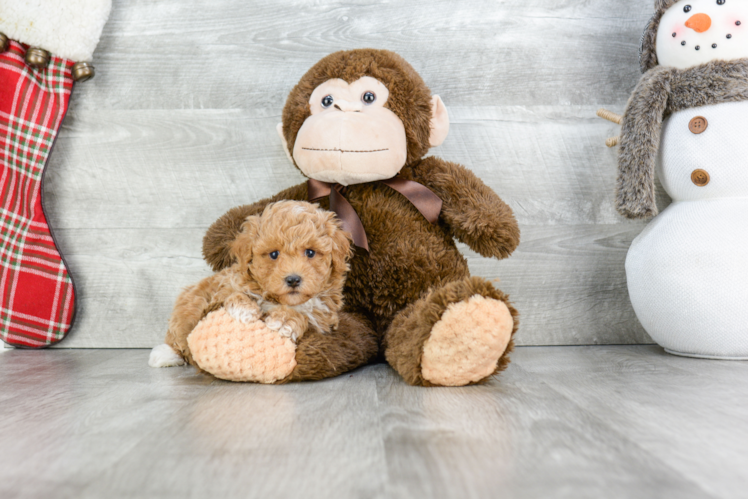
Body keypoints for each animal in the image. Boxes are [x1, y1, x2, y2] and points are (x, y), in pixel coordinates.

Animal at [151, 199, 354, 368]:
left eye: (310, 252)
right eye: (274, 254)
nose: (293, 279)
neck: (281, 300)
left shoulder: (323, 318)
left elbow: (305, 316)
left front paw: (284, 321)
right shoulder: (225, 285)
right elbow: (233, 293)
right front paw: (245, 308)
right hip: (188, 305)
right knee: (177, 334)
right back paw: (166, 355)